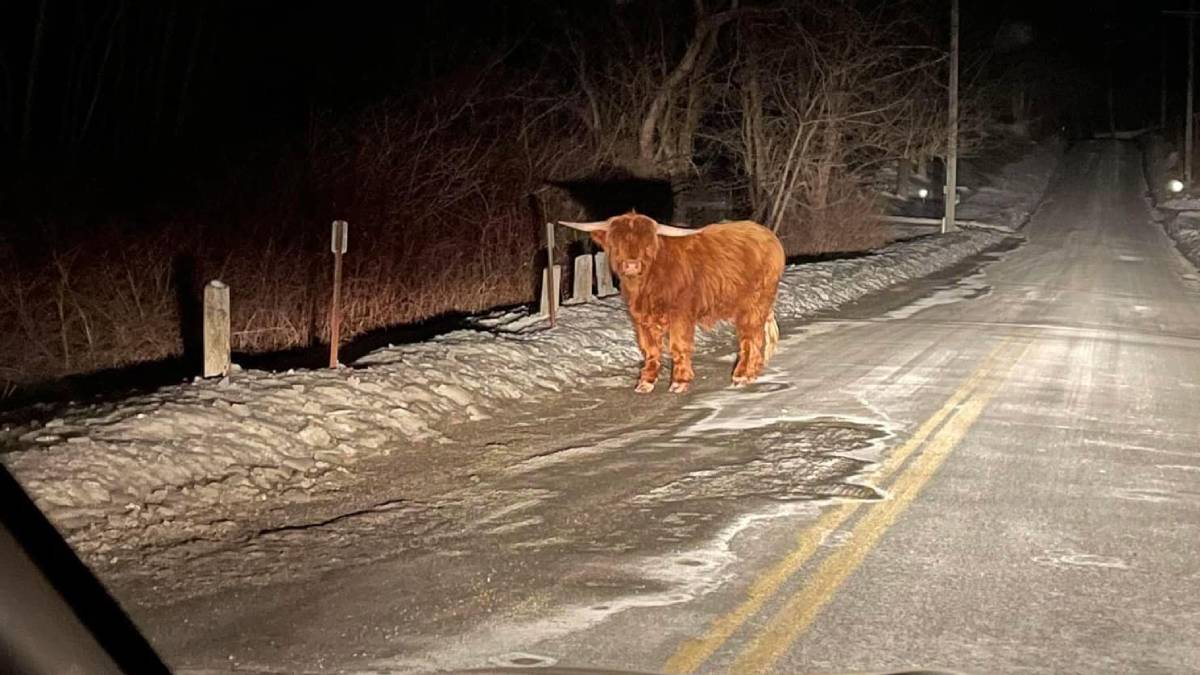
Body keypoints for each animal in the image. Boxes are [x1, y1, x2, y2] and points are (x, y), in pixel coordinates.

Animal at [559, 212, 785, 394]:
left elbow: (678, 346)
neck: (647, 282)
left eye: (647, 244)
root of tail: (768, 236)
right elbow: (650, 349)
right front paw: (646, 382)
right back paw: (751, 372)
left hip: (754, 304)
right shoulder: (641, 318)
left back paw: (742, 375)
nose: (631, 265)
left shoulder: (681, 314)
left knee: (750, 339)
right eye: (616, 244)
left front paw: (680, 382)